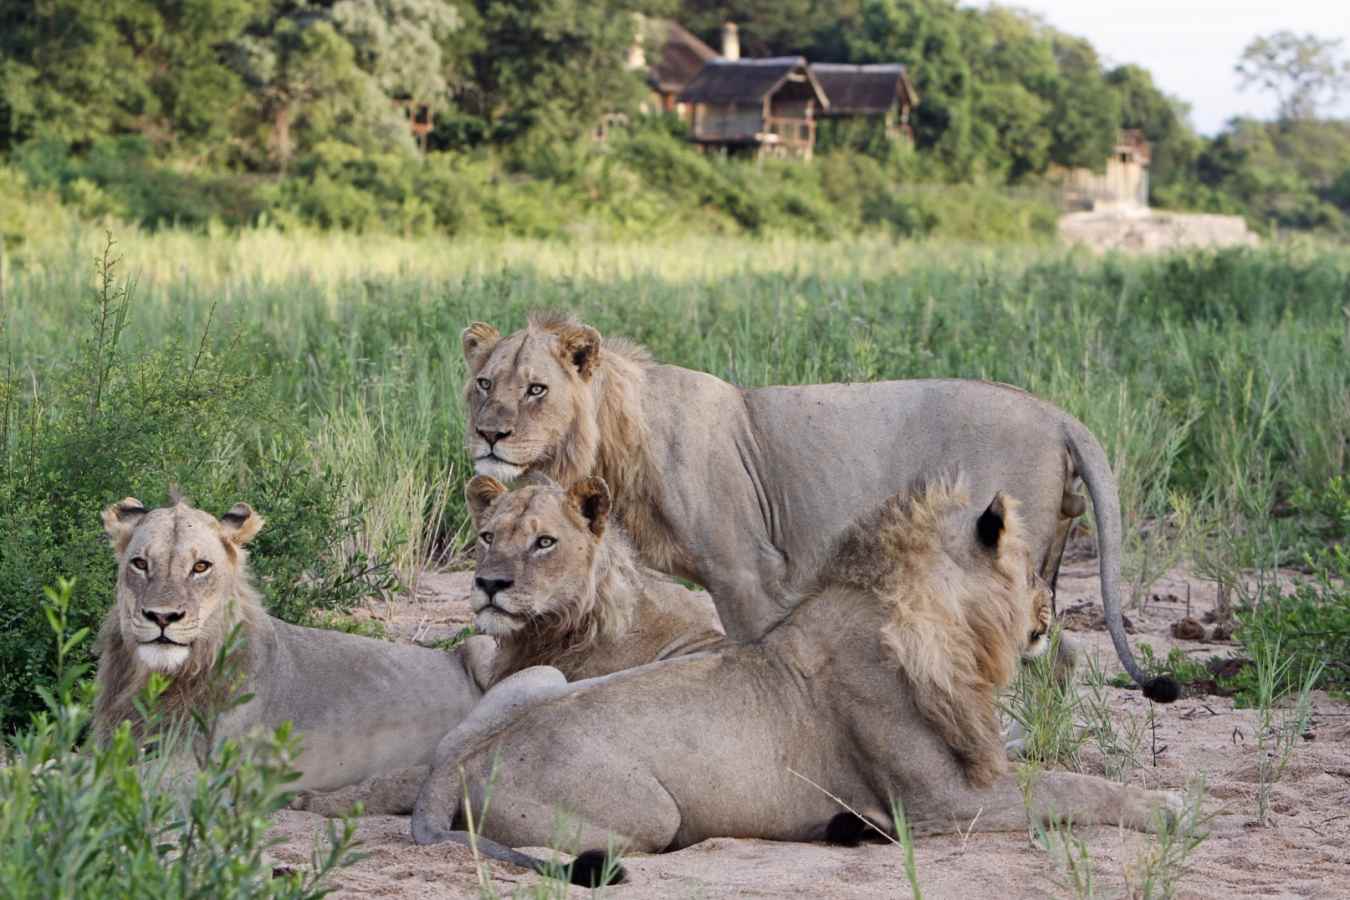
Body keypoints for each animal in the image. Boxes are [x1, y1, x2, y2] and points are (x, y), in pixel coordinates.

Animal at [410, 478, 1180, 881]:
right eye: (1026, 570)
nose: (1052, 611)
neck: (943, 631)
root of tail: (459, 769)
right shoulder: (941, 802)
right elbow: (1068, 787)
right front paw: (1169, 806)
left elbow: (1056, 773)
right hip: (647, 818)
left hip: (538, 678)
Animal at [460, 313, 1177, 701]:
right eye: (483, 383)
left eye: (536, 389)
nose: (488, 434)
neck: (617, 432)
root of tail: (1059, 414)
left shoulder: (746, 572)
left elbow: (751, 648)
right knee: (1059, 655)